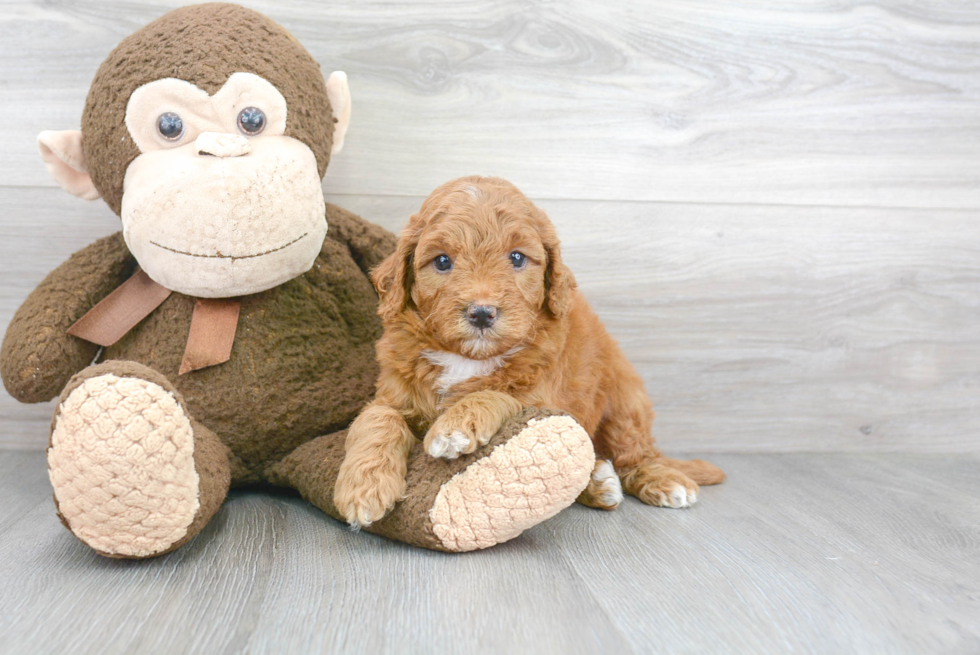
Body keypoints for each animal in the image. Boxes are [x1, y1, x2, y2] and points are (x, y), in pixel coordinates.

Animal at [334, 176, 724, 528]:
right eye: (442, 261)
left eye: (517, 258)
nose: (481, 312)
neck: (467, 359)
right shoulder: (392, 393)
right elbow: (376, 419)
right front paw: (364, 489)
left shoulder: (541, 395)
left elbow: (496, 394)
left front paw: (454, 426)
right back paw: (599, 482)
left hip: (625, 403)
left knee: (634, 454)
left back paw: (659, 479)